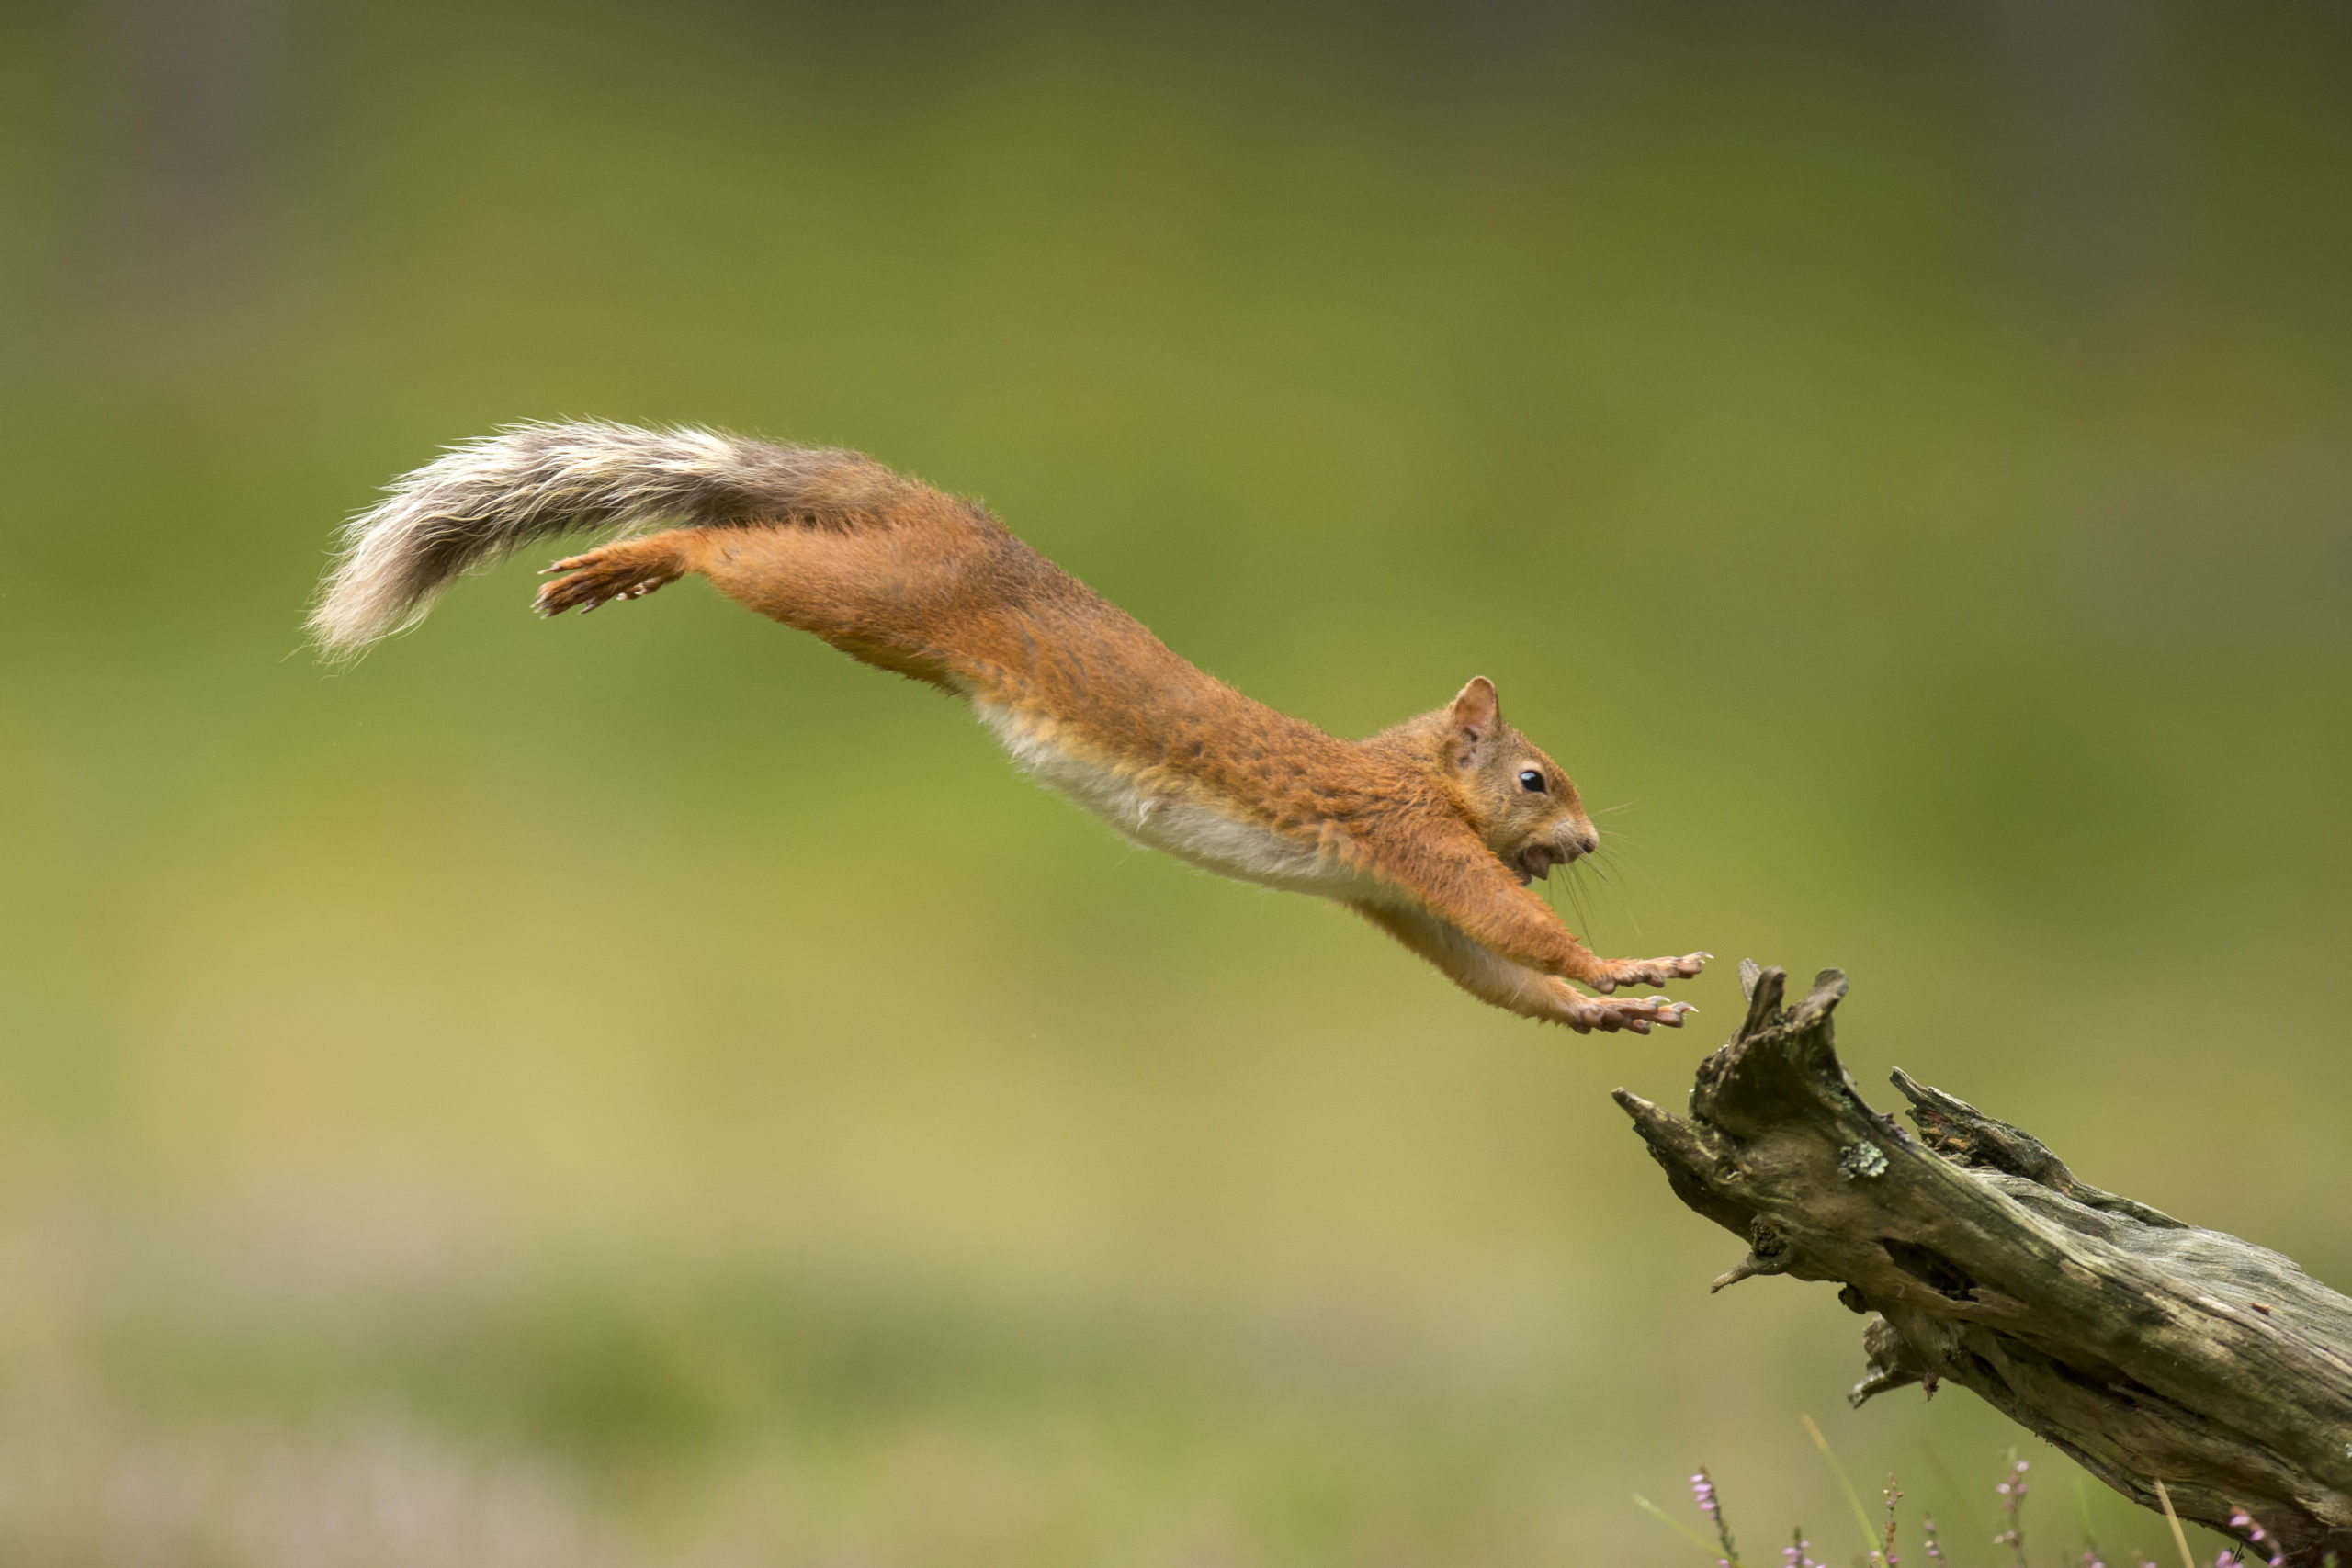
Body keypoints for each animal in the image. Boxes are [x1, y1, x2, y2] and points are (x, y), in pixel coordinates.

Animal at [312, 423, 1712, 1034]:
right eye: (1534, 780)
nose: (1589, 844)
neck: (1402, 767)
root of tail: (948, 515)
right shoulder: (1412, 842)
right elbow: (1511, 925)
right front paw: (1624, 966)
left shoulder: (1388, 895)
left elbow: (1487, 968)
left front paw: (1597, 1011)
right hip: (876, 593)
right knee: (729, 548)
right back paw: (644, 558)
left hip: (881, 611)